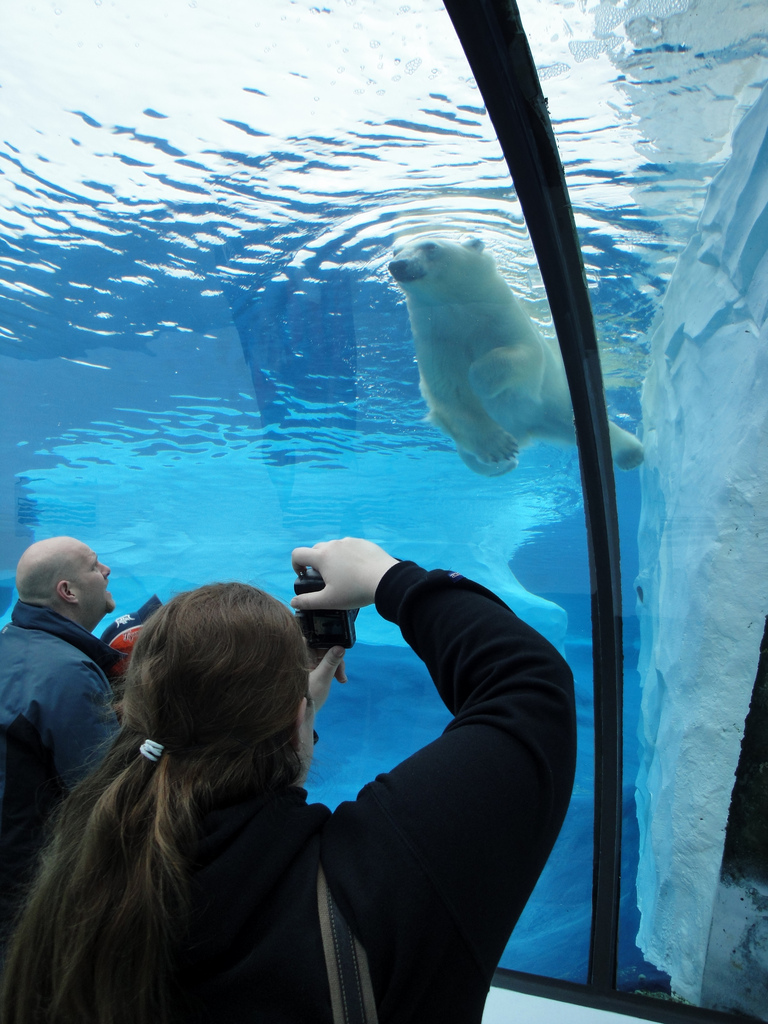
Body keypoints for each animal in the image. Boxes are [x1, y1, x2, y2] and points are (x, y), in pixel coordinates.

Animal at [388, 235, 644, 476]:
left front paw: (481, 382)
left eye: (430, 246)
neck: (457, 310)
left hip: (552, 407)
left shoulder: (501, 315)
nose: (397, 265)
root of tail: (525, 431)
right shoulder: (436, 340)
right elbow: (449, 392)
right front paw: (499, 446)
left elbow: (524, 354)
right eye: (395, 251)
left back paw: (631, 454)